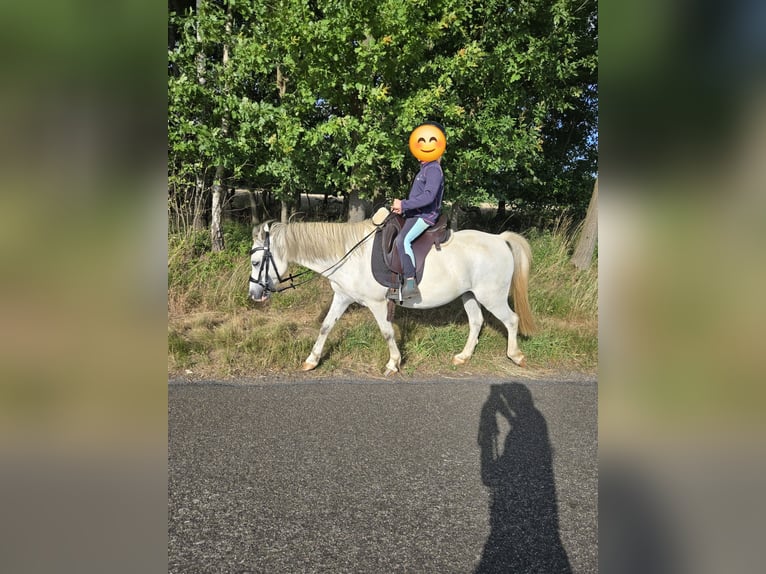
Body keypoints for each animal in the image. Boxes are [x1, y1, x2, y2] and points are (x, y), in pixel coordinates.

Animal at [248, 216, 535, 375]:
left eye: (255, 262)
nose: (254, 295)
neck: (349, 254)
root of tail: (499, 239)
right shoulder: (342, 298)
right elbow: (326, 327)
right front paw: (311, 360)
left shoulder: (377, 303)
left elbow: (387, 332)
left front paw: (393, 363)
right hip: (469, 295)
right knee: (476, 322)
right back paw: (463, 357)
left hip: (492, 296)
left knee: (511, 320)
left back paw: (517, 356)